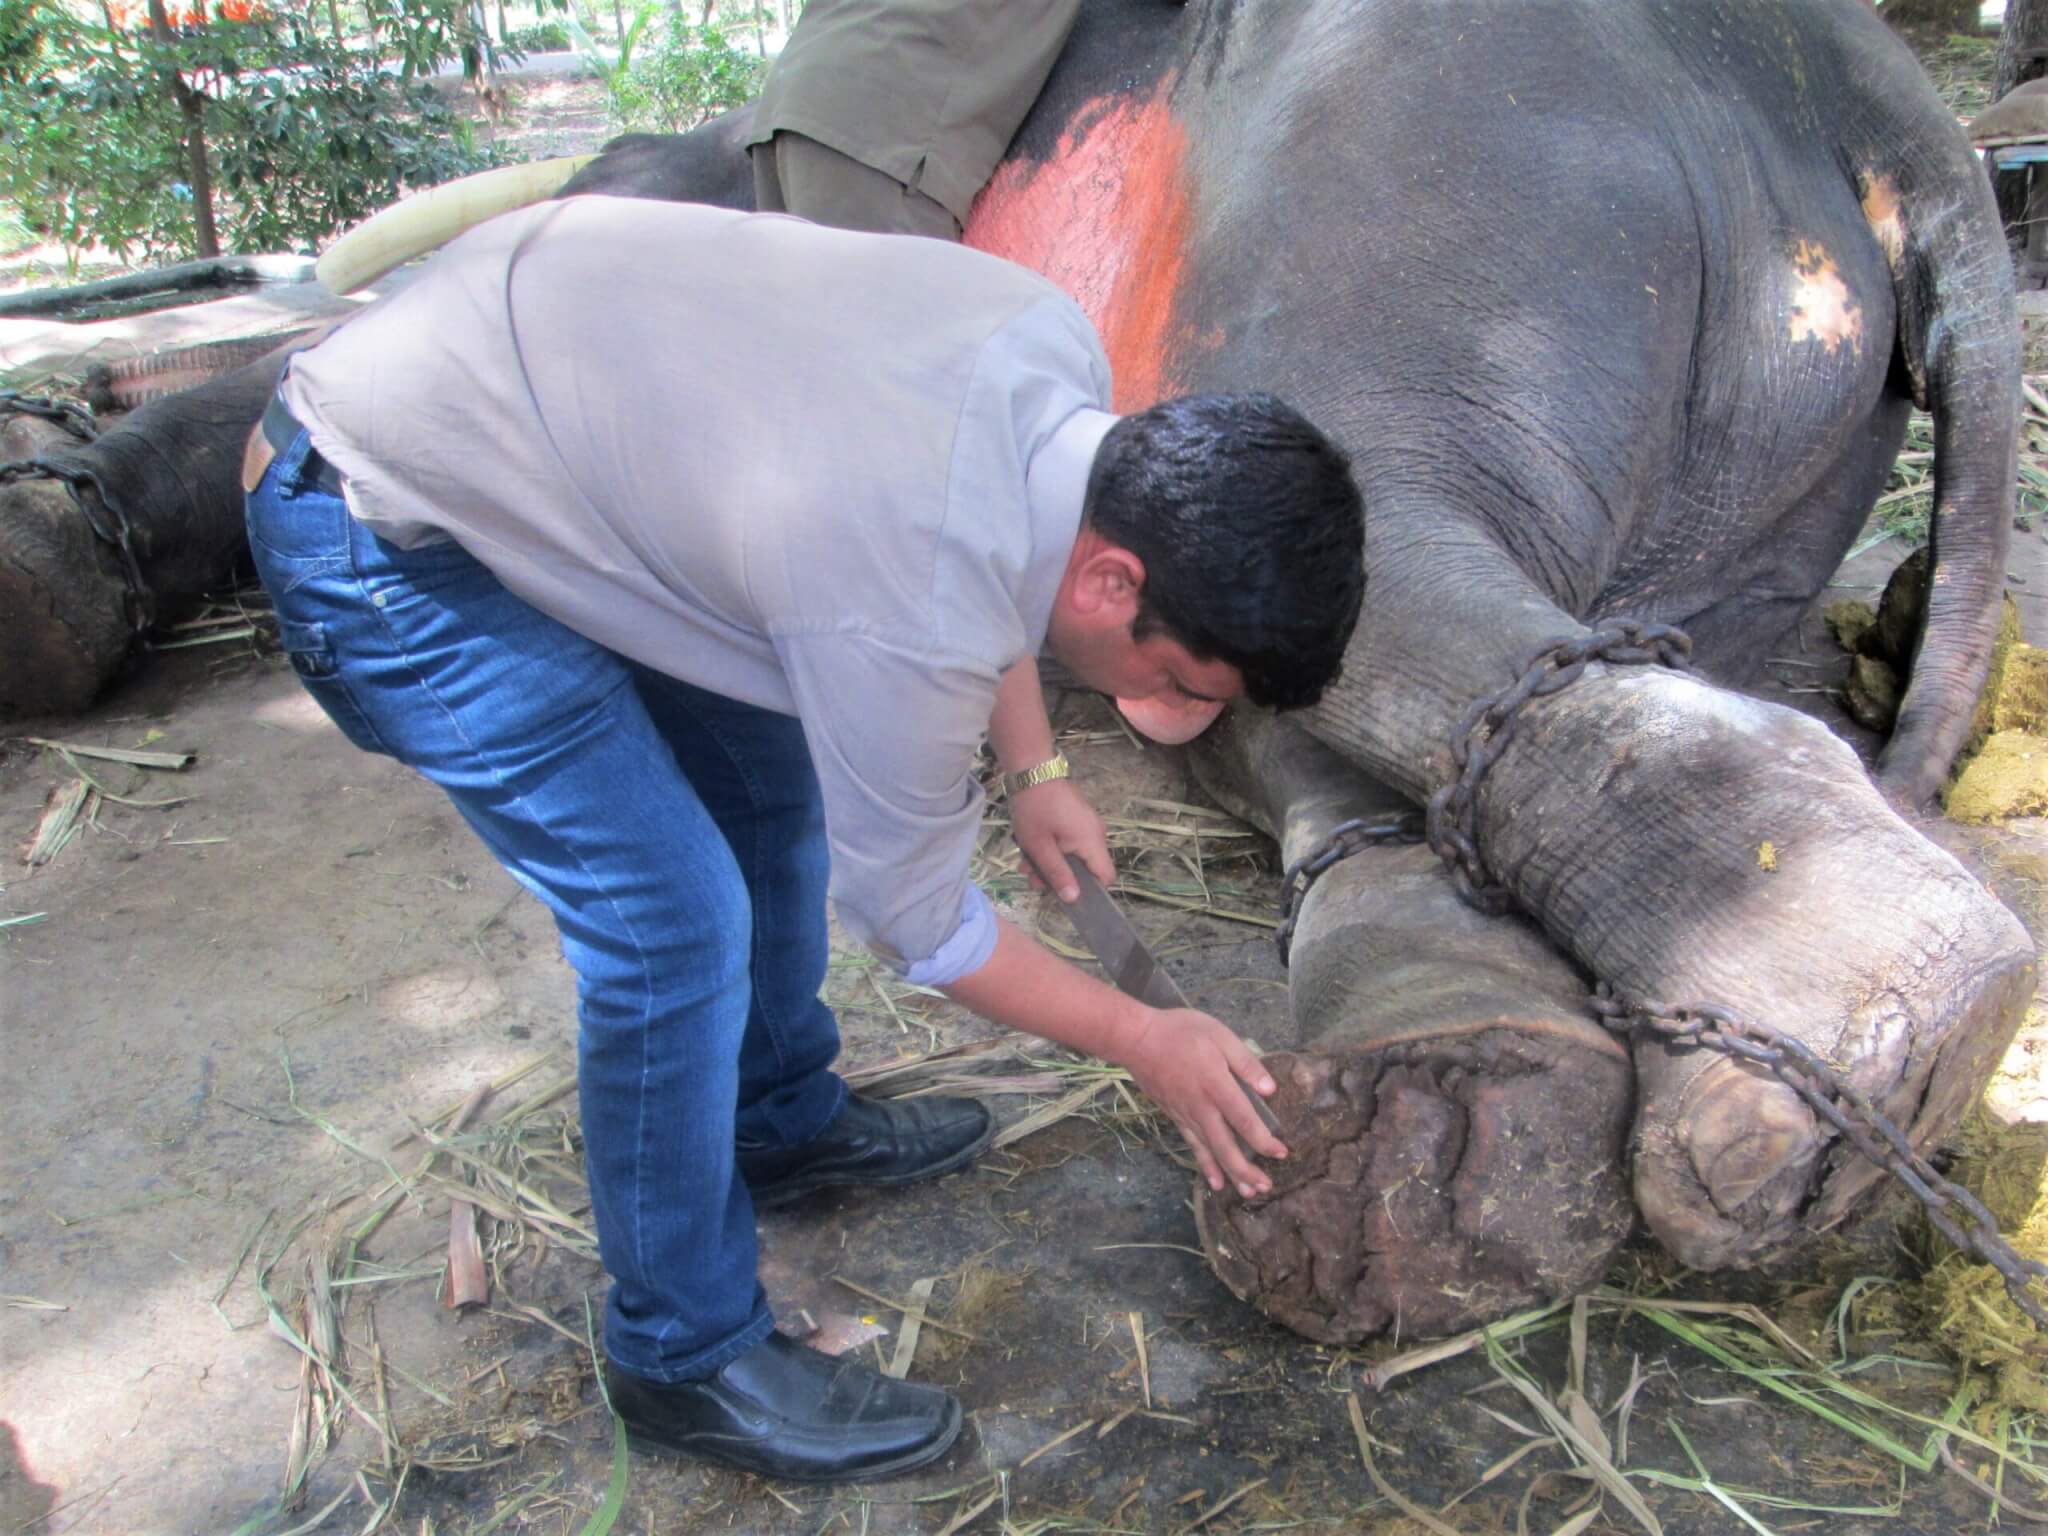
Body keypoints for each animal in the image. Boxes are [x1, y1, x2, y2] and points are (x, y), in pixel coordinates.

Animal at [4, 0, 2031, 1343]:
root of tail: (1865, 87)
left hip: (1465, 187)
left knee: (1376, 526)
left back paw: (1860, 1023)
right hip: (1753, 449)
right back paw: (1468, 1138)